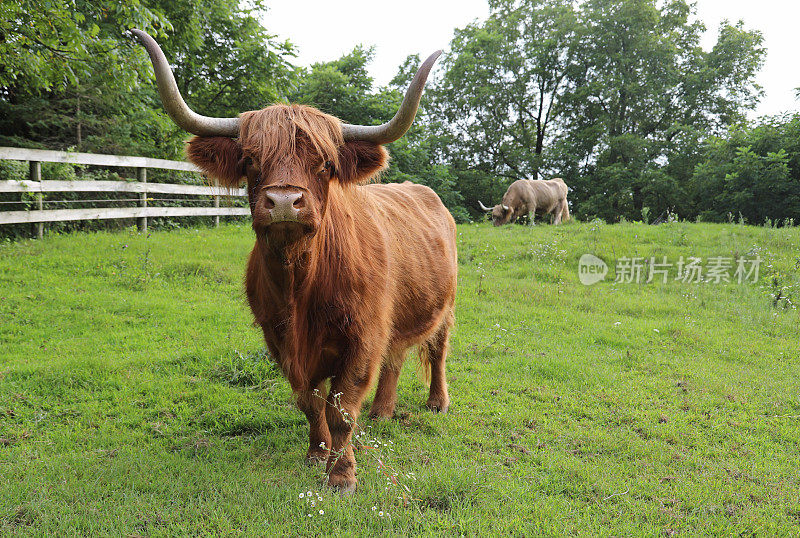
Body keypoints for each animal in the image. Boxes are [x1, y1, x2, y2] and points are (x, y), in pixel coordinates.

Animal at [133, 31, 456, 492]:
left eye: (324, 164)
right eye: (251, 160)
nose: (284, 202)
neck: (299, 287)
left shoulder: (362, 337)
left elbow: (342, 409)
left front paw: (341, 475)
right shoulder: (281, 341)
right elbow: (310, 401)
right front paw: (316, 453)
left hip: (444, 306)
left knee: (439, 350)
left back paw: (437, 402)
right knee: (394, 358)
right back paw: (383, 411)